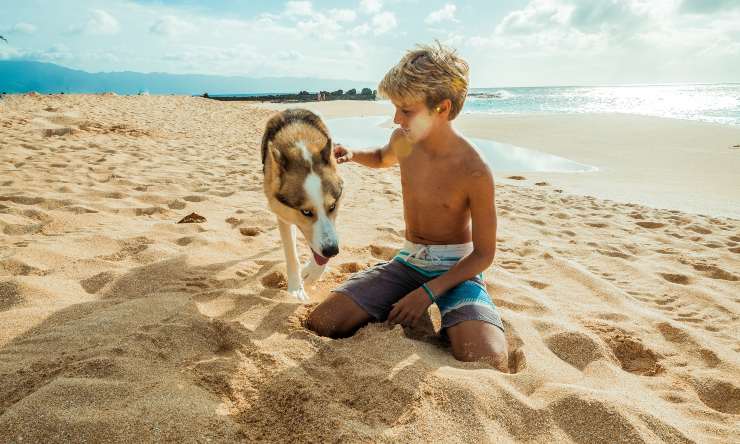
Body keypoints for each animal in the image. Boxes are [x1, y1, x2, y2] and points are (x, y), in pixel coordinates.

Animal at [262, 109, 342, 300]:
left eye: (332, 207)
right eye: (306, 212)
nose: (332, 251)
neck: (301, 146)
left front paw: (312, 274)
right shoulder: (283, 215)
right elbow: (291, 254)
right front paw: (296, 287)